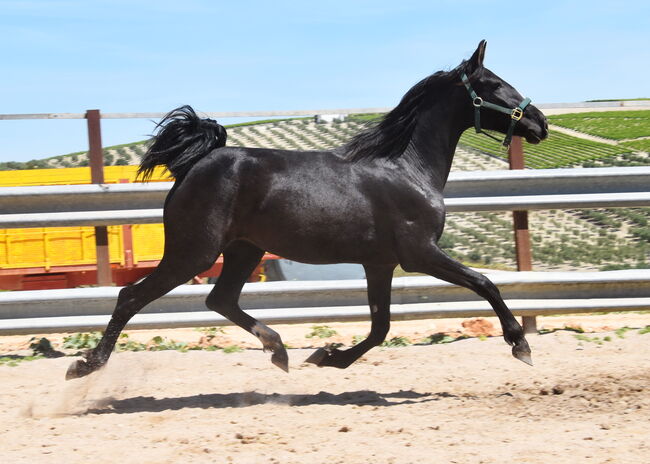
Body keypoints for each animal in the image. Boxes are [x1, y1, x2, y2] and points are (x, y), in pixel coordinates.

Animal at [66, 41, 544, 378]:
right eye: (494, 85)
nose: (540, 122)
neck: (406, 168)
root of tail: (194, 164)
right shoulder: (419, 254)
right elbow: (485, 283)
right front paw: (520, 346)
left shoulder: (380, 264)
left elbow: (381, 327)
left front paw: (327, 356)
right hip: (194, 252)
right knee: (132, 296)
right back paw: (86, 365)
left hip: (245, 249)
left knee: (220, 298)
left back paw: (278, 351)